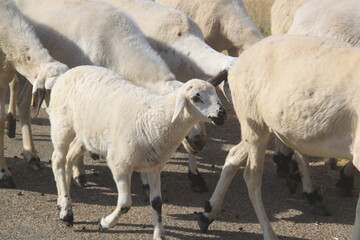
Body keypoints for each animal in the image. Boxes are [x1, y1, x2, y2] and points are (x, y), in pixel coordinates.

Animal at [49, 64, 226, 239]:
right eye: (196, 97)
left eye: (216, 93)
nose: (223, 114)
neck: (157, 118)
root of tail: (70, 71)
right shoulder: (119, 165)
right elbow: (125, 204)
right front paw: (104, 223)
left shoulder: (154, 166)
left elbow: (157, 203)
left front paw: (159, 235)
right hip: (62, 125)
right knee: (58, 160)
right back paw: (66, 211)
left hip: (85, 133)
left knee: (69, 158)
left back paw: (63, 198)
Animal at [197, 34, 360, 240]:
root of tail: (234, 65)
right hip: (254, 123)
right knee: (251, 177)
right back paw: (268, 233)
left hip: (260, 127)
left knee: (233, 156)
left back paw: (207, 215)